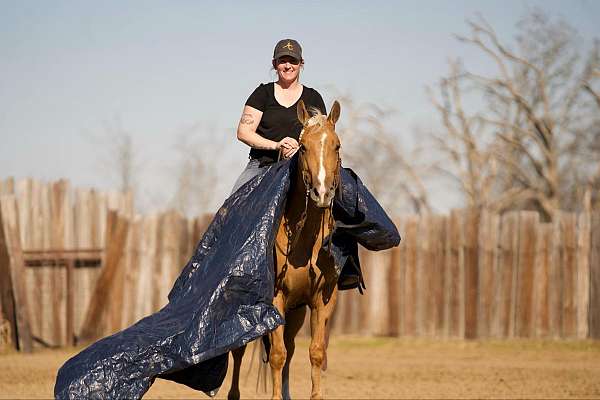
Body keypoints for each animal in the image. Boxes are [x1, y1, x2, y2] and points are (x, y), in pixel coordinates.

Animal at [229, 100, 342, 400]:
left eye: (337, 146)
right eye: (302, 147)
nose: (321, 193)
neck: (304, 244)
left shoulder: (322, 299)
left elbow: (315, 352)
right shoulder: (275, 298)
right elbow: (277, 355)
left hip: (296, 312)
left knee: (290, 347)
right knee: (239, 350)